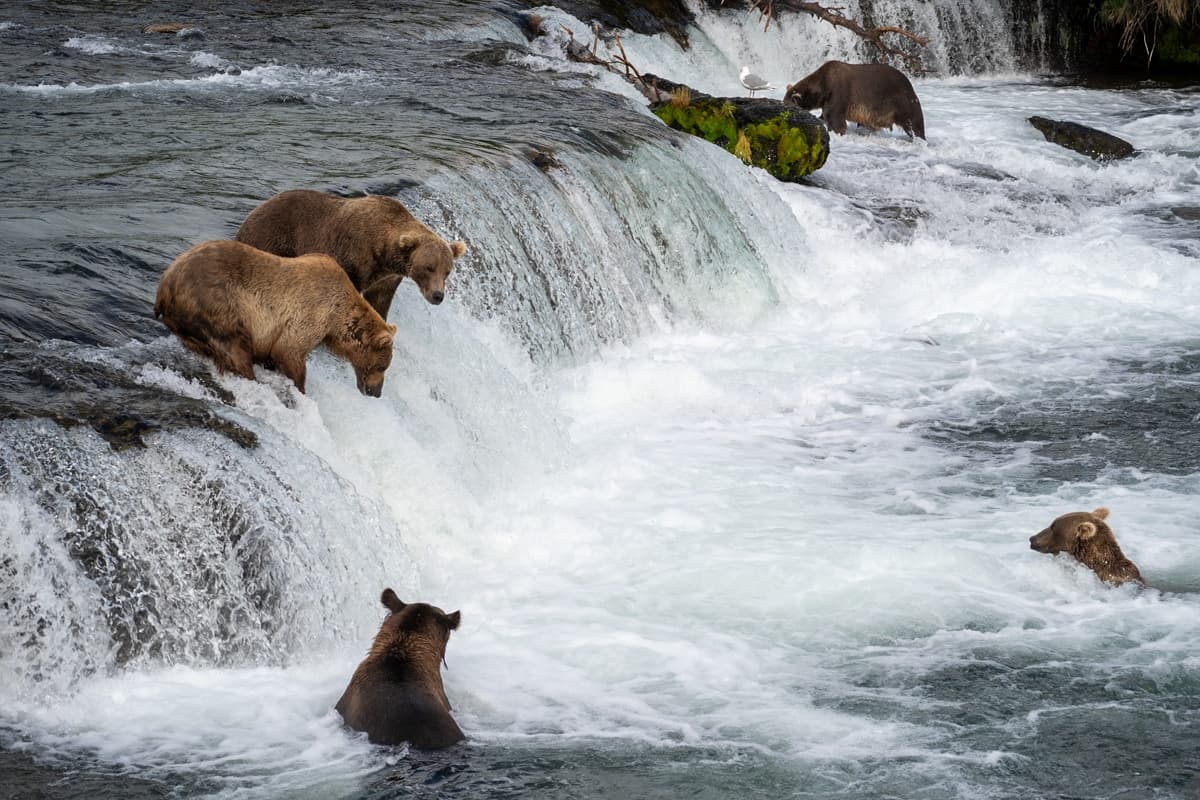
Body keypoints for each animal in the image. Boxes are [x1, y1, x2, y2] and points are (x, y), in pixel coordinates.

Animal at [154, 240, 397, 396]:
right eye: (382, 366)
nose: (376, 392)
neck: (338, 318)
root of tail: (164, 285)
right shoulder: (311, 311)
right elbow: (288, 350)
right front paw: (300, 388)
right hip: (215, 303)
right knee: (234, 346)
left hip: (186, 326)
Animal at [235, 189, 467, 321]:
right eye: (429, 267)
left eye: (447, 271)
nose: (438, 295)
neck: (383, 252)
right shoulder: (354, 257)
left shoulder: (386, 277)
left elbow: (380, 301)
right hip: (273, 238)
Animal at [784, 61, 925, 140]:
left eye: (787, 104)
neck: (822, 86)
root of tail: (909, 83)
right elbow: (825, 115)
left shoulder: (838, 92)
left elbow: (835, 118)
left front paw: (837, 131)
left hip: (901, 101)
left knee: (913, 123)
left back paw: (919, 138)